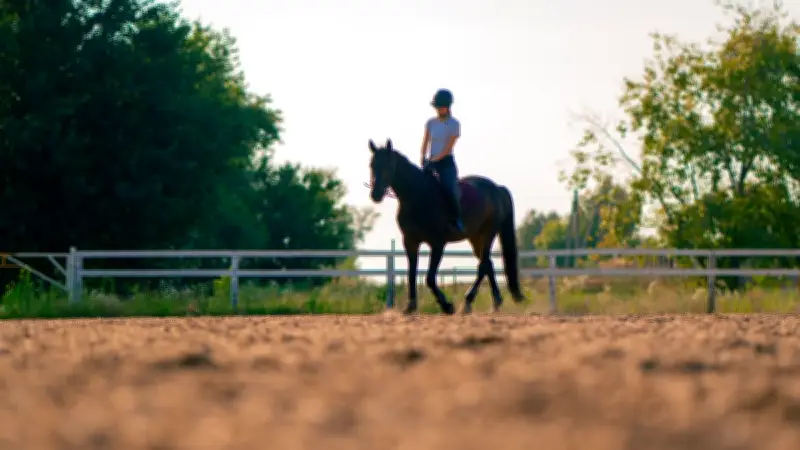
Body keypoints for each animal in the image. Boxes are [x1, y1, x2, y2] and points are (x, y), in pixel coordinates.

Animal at [367, 138, 525, 314]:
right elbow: (411, 274)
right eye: (372, 165)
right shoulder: (410, 241)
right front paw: (410, 306)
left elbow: (429, 278)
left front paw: (447, 305)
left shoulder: (437, 243)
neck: (418, 195)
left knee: (483, 265)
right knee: (488, 264)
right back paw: (496, 301)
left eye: (388, 165)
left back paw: (468, 302)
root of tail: (497, 188)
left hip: (488, 233)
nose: (375, 194)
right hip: (475, 237)